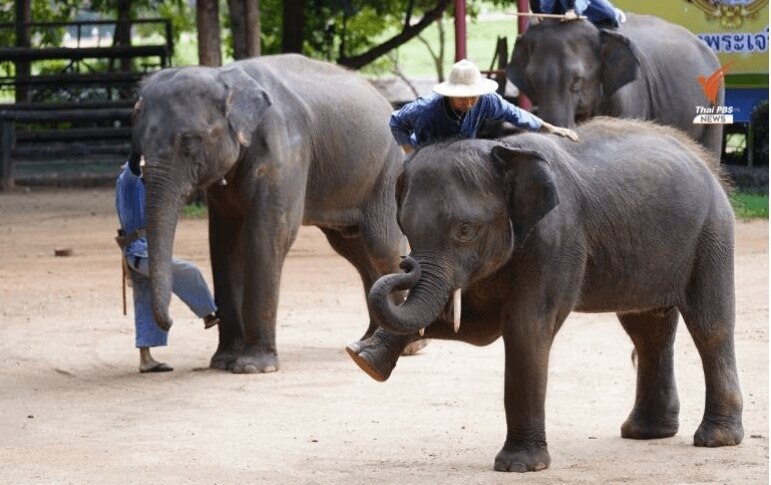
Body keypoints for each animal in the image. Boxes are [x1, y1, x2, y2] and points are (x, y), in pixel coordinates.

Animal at [131, 52, 410, 370]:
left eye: (190, 142)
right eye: (137, 143)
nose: (170, 323)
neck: (223, 76)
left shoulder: (284, 151)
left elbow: (269, 234)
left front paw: (253, 366)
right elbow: (224, 243)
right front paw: (223, 362)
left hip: (387, 175)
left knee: (383, 248)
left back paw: (405, 347)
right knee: (356, 251)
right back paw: (364, 344)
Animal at [346, 118, 744, 472]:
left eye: (465, 230)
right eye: (405, 226)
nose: (406, 262)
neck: (506, 154)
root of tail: (703, 158)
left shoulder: (558, 239)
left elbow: (525, 327)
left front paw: (519, 467)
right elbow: (474, 327)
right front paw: (364, 360)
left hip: (713, 234)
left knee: (710, 326)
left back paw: (716, 439)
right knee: (648, 331)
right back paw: (645, 433)